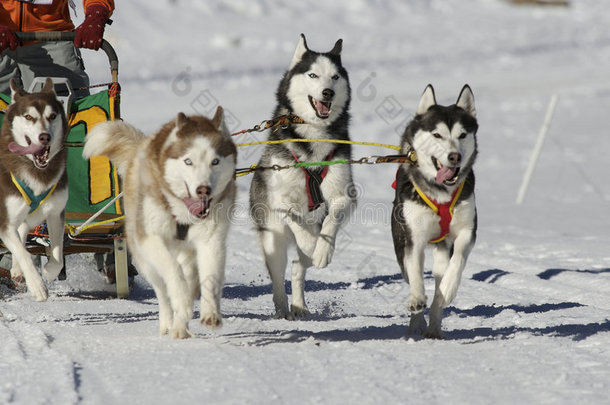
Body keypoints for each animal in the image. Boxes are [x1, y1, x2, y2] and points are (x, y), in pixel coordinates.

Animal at [0, 78, 69, 300]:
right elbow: (25, 253)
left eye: (52, 116)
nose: (44, 137)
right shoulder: (5, 221)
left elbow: (58, 256)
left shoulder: (56, 212)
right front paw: (37, 285)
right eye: (29, 117)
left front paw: (48, 271)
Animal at [84, 107, 236, 338]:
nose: (204, 189)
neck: (182, 212)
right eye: (188, 161)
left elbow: (210, 276)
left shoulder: (211, 240)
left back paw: (180, 327)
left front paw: (210, 313)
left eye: (215, 161)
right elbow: (172, 272)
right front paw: (181, 301)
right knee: (163, 293)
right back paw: (168, 322)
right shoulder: (150, 238)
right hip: (145, 261)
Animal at [249, 34, 356, 318]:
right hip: (273, 239)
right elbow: (297, 222)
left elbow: (331, 219)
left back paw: (299, 305)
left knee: (298, 268)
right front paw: (311, 243)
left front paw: (322, 250)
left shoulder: (344, 195)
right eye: (313, 75)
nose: (328, 92)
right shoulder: (282, 201)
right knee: (278, 276)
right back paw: (282, 308)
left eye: (335, 77)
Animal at [390, 85, 480, 338]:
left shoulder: (467, 231)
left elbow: (457, 260)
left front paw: (448, 288)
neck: (442, 193)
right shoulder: (413, 238)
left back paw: (434, 326)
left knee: (440, 282)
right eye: (437, 135)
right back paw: (417, 322)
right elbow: (415, 273)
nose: (454, 156)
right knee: (411, 271)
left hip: (441, 250)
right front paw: (417, 300)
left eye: (462, 135)